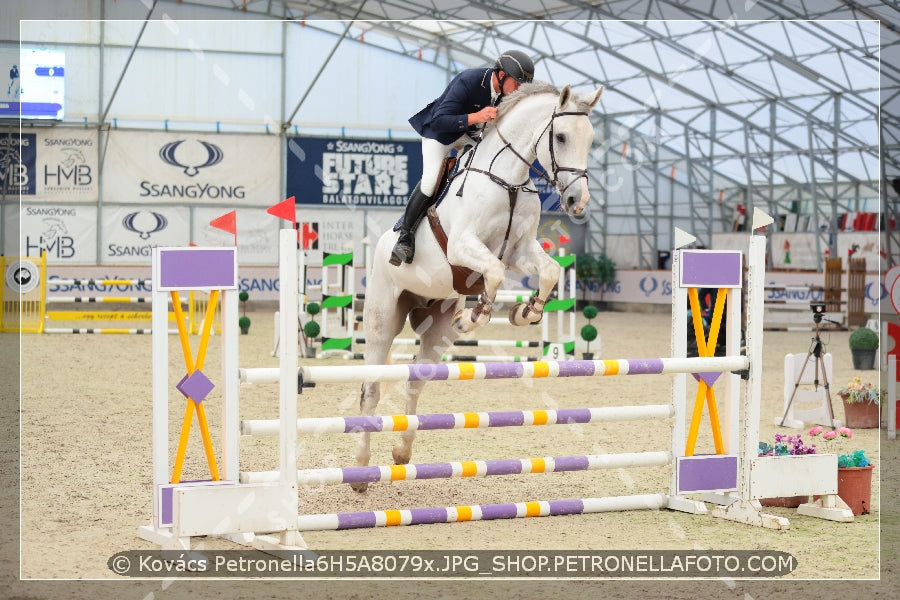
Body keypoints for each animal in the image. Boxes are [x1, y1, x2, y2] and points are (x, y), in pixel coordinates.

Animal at [356, 82, 600, 490]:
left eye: (592, 140)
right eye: (562, 136)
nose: (575, 201)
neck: (508, 179)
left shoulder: (520, 249)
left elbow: (549, 272)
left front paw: (525, 312)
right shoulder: (464, 247)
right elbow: (495, 274)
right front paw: (474, 317)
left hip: (435, 327)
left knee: (415, 382)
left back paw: (402, 454)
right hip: (382, 318)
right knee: (371, 387)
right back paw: (359, 470)